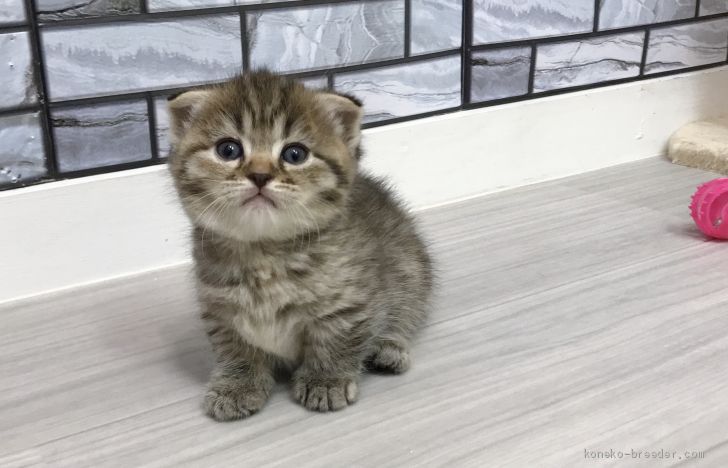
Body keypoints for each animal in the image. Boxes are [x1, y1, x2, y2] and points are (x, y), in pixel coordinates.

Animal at [166, 71, 432, 422]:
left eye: (295, 154)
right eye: (228, 149)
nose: (260, 175)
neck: (265, 252)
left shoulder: (350, 302)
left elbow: (336, 340)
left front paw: (326, 381)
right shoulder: (218, 307)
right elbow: (234, 348)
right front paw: (236, 385)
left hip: (411, 267)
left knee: (406, 310)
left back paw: (389, 349)